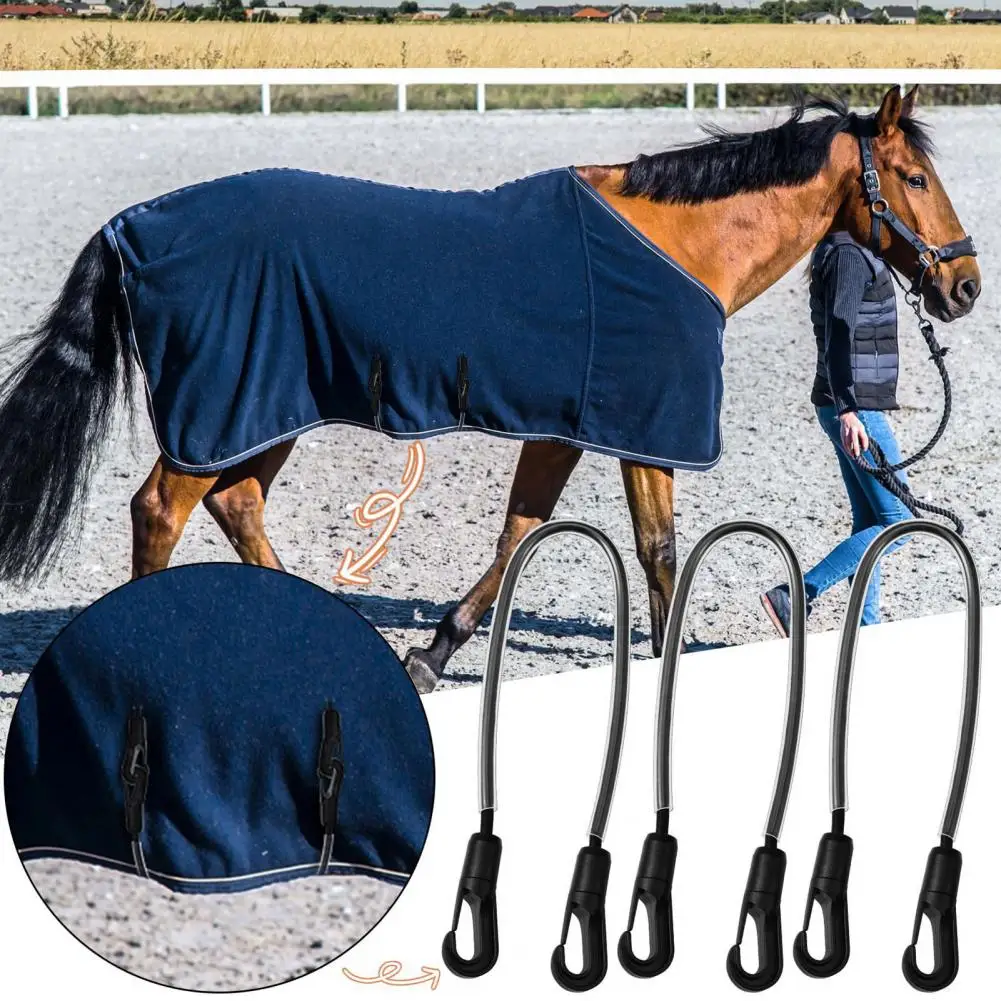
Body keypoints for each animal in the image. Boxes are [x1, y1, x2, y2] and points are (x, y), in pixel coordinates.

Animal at [0, 87, 981, 696]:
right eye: (914, 178)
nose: (963, 286)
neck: (677, 246)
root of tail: (135, 225)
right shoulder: (642, 430)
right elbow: (657, 550)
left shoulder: (566, 428)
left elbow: (519, 536)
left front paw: (432, 655)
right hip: (225, 406)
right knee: (161, 510)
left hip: (263, 412)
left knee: (235, 504)